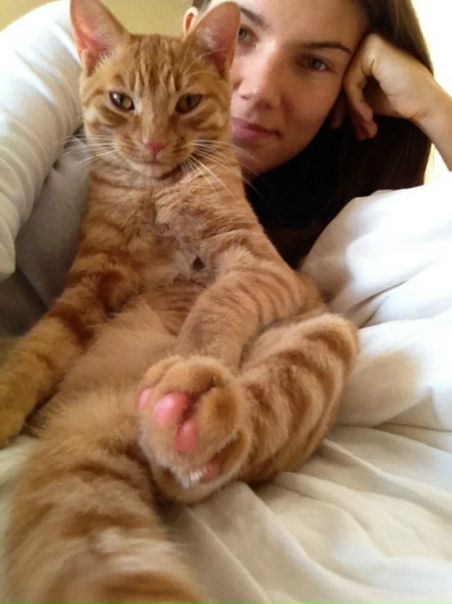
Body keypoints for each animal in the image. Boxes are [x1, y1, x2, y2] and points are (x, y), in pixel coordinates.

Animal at [2, 0, 359, 601]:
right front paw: (6, 395)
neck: (156, 192)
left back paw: (184, 411)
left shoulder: (258, 266)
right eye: (122, 102)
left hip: (324, 341)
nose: (151, 144)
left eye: (188, 103)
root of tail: (111, 405)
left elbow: (216, 303)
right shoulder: (88, 287)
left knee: (211, 461)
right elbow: (40, 345)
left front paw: (192, 352)